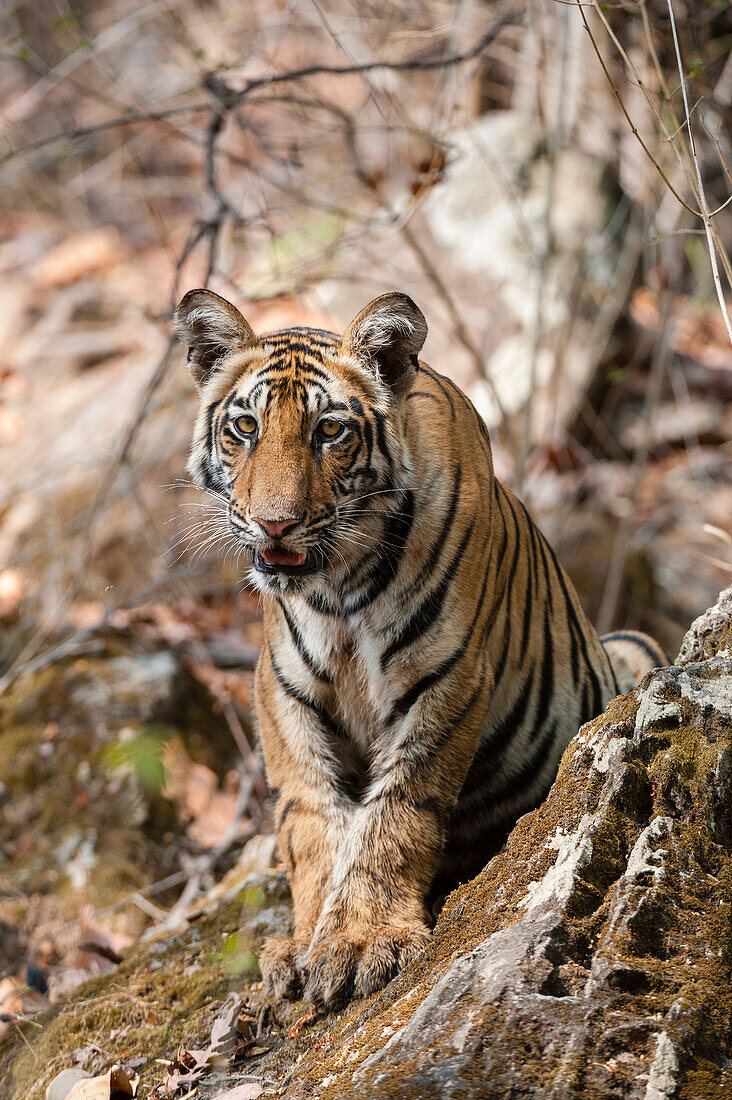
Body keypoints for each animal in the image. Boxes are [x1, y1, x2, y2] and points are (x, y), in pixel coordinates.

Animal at [173, 288, 664, 1007]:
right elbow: (310, 818)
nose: (273, 524)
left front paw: (361, 941)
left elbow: (397, 812)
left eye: (329, 432)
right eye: (244, 427)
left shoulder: (445, 678)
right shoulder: (282, 689)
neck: (337, 587)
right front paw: (305, 941)